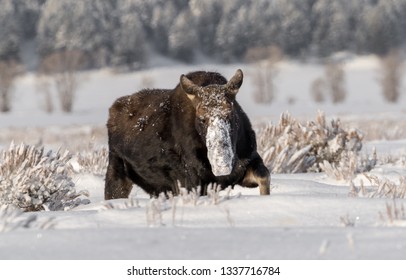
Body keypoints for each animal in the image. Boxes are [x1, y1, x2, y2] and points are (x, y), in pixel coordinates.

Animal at [104, 69, 270, 199]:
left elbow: (264, 176)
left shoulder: (246, 165)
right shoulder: (192, 182)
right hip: (117, 172)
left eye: (230, 114)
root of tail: (111, 112)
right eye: (202, 119)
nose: (221, 164)